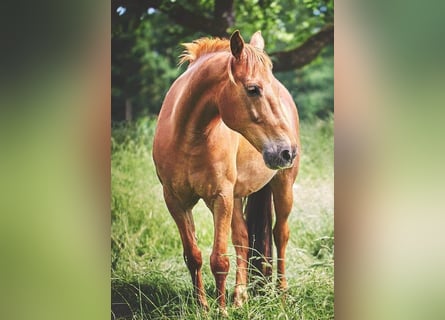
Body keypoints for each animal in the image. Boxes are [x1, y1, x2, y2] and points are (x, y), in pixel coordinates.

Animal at [151, 30, 300, 312]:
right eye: (253, 89)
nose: (288, 151)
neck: (188, 137)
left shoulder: (220, 198)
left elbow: (219, 260)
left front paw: (220, 310)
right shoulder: (175, 201)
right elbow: (193, 256)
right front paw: (203, 307)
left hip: (282, 185)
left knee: (281, 235)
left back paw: (283, 294)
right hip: (237, 197)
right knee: (242, 239)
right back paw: (240, 297)